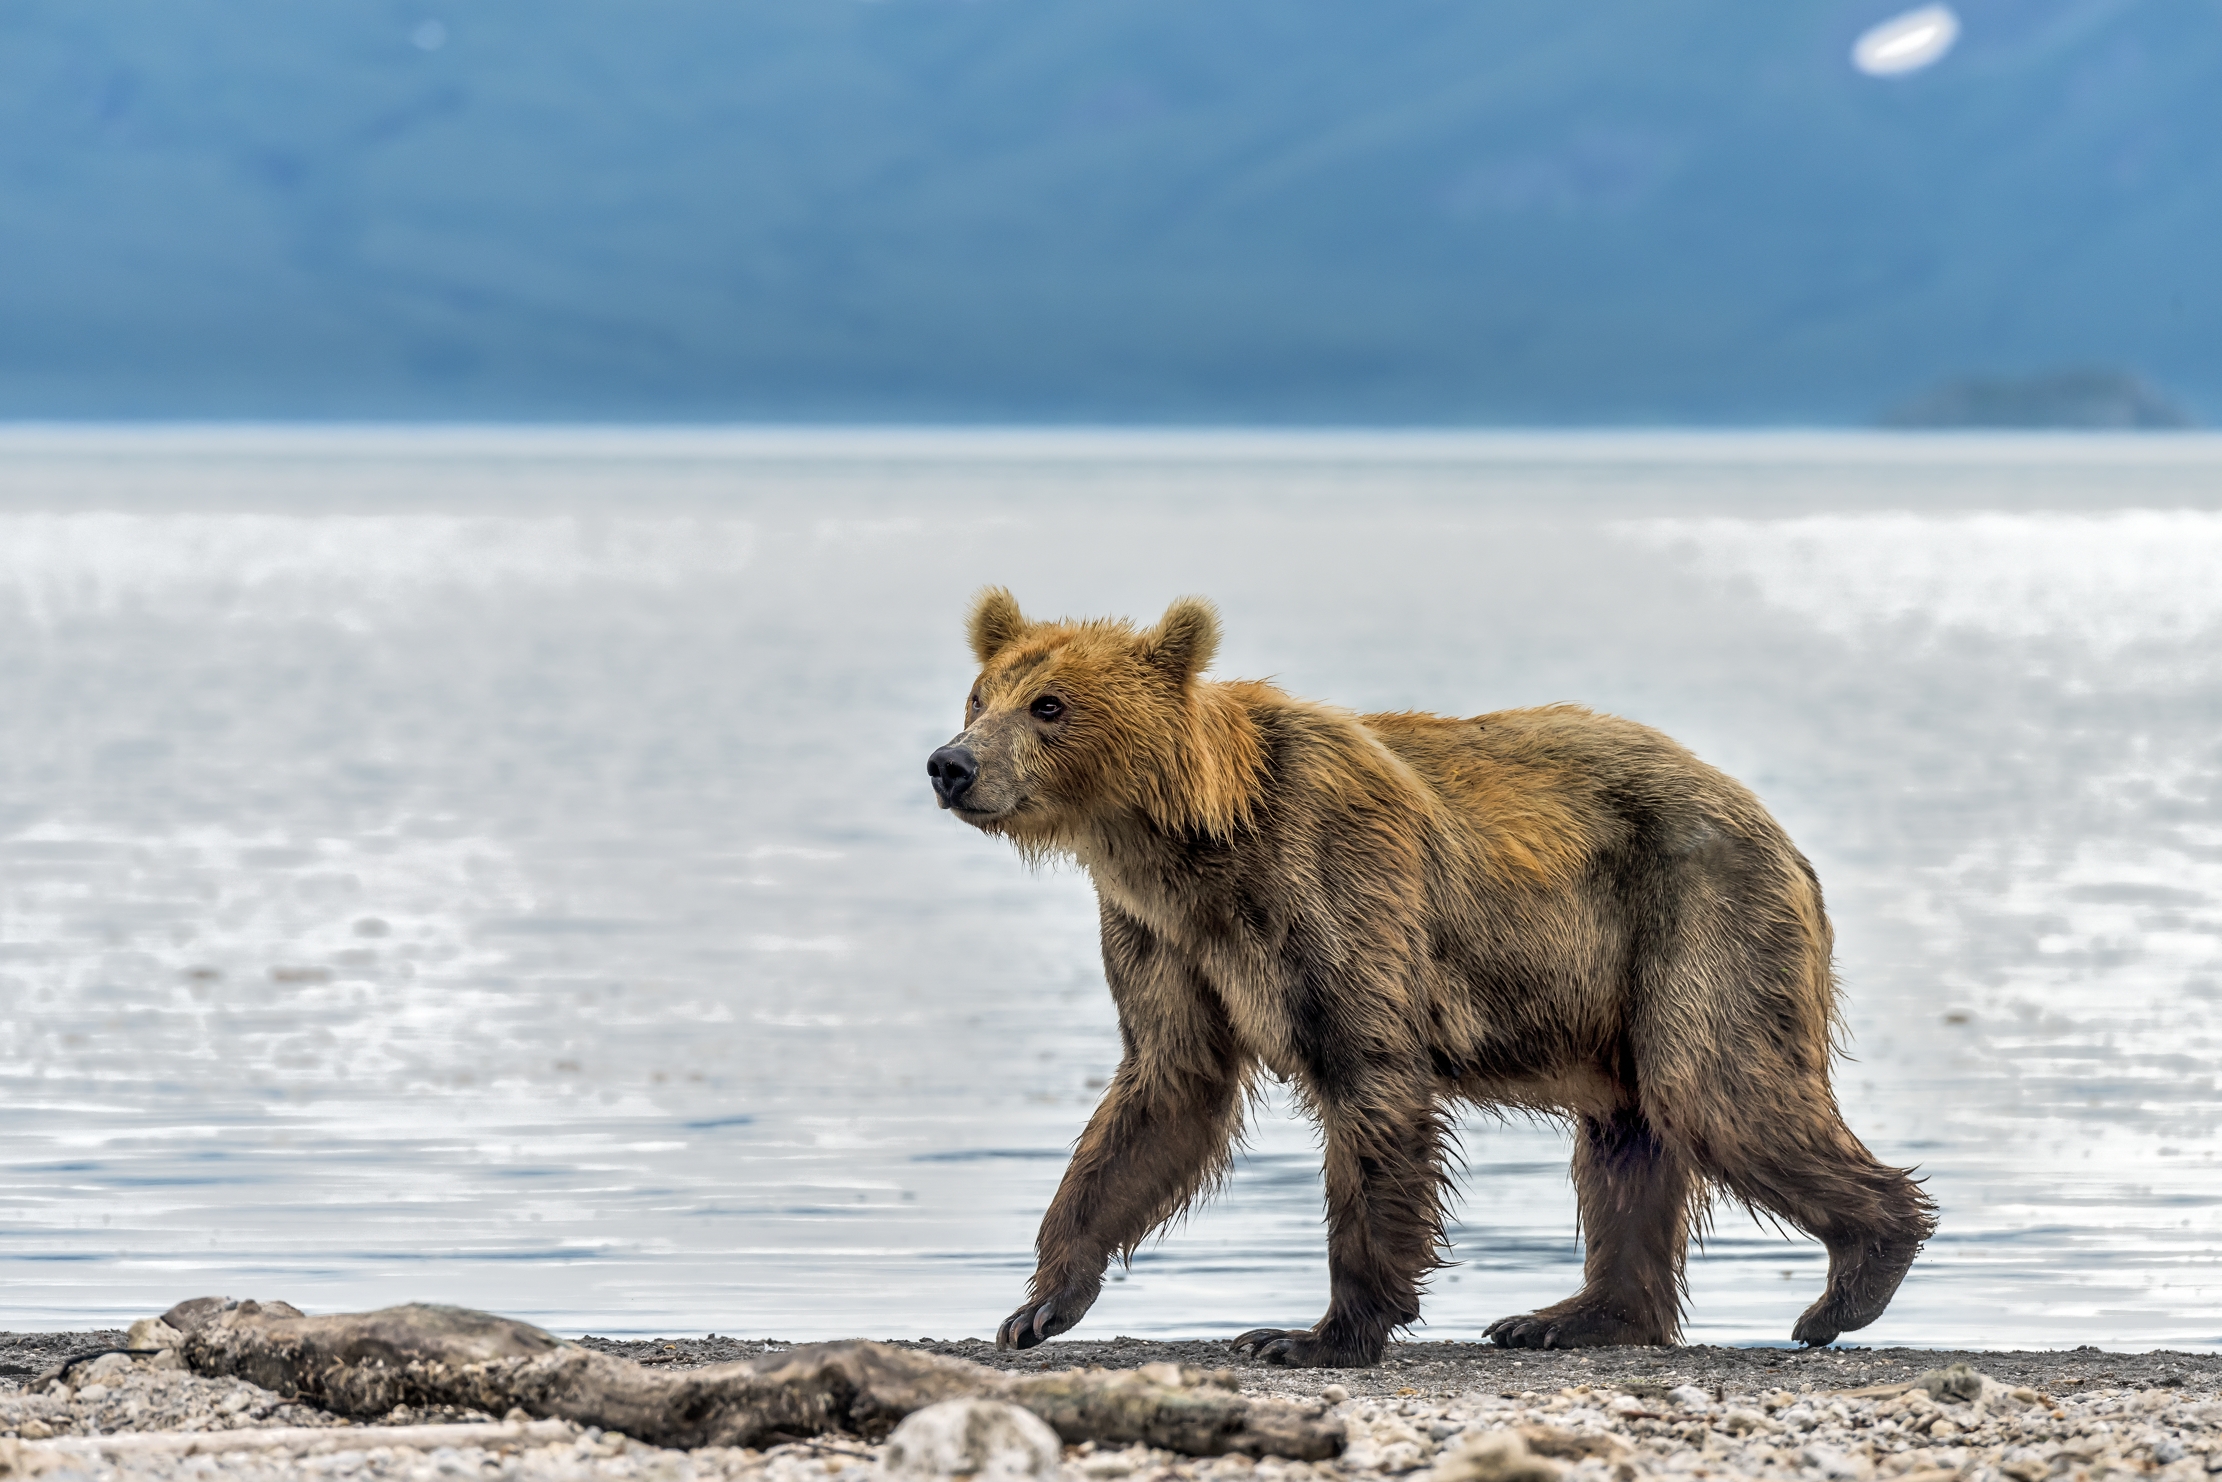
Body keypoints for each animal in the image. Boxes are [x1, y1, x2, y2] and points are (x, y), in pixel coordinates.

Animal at [925, 589, 1935, 1367]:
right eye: (979, 694)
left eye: (1049, 705)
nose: (951, 763)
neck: (1193, 843)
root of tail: (1773, 826)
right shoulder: (1161, 937)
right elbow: (1165, 1089)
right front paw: (1040, 1303)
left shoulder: (1330, 884)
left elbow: (1368, 1085)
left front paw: (1313, 1334)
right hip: (1620, 983)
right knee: (1627, 1137)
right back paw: (1572, 1317)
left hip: (1693, 914)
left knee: (1714, 1085)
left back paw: (1853, 1277)